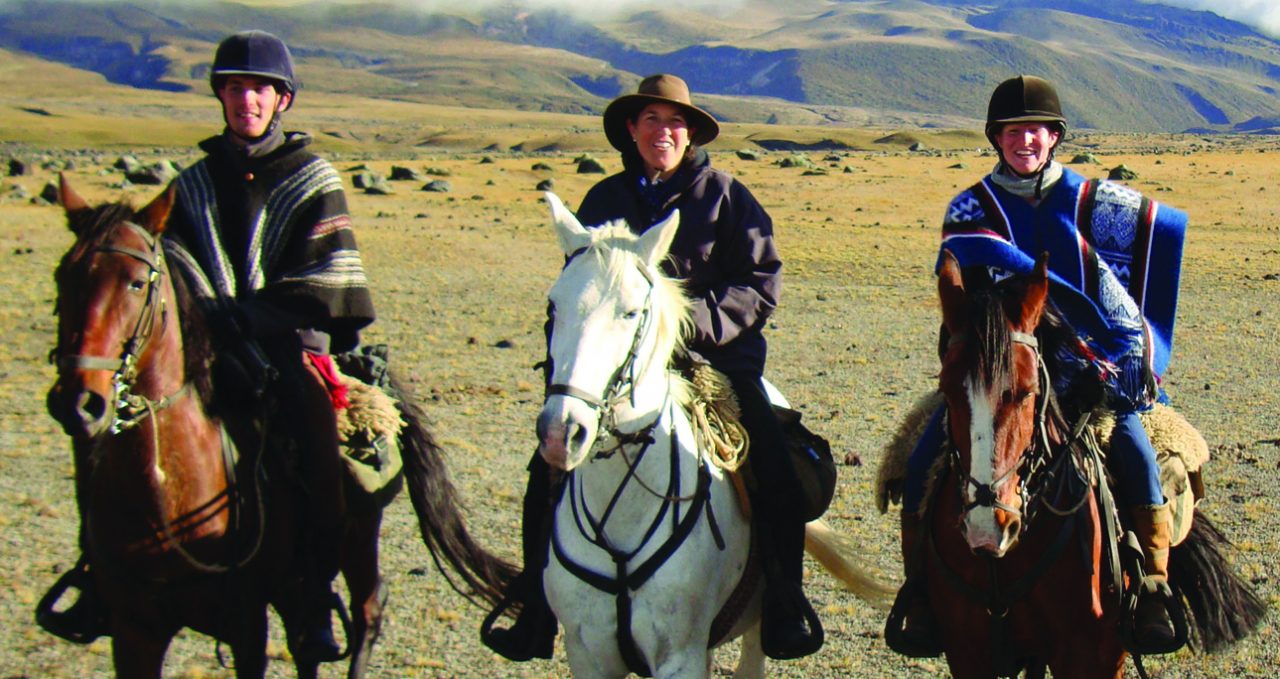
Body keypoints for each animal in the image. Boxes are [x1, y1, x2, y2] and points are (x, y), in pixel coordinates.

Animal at [45, 176, 514, 671]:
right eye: (62, 277)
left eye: (137, 283)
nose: (79, 403)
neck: (168, 491)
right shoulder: (134, 629)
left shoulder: (246, 621)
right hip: (296, 579)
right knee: (306, 635)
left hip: (358, 533)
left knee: (368, 608)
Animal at [535, 193, 885, 671]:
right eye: (554, 307)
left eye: (632, 312)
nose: (561, 432)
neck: (621, 517)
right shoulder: (588, 652)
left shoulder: (679, 657)